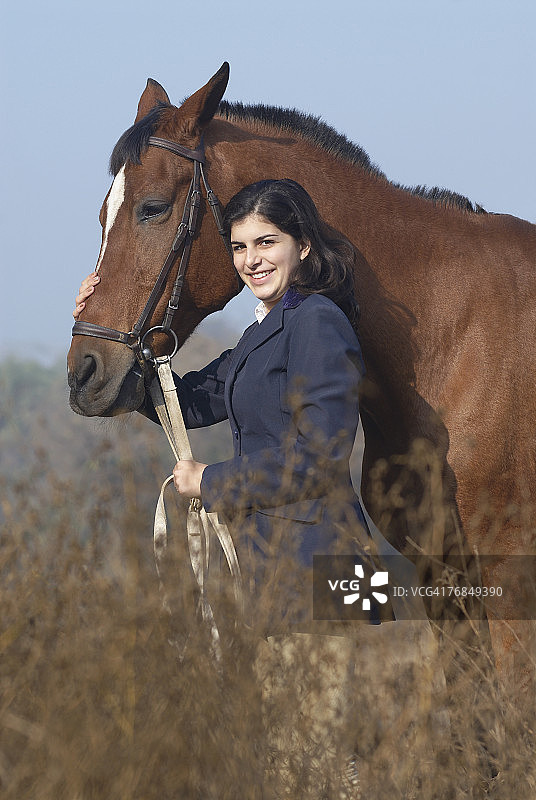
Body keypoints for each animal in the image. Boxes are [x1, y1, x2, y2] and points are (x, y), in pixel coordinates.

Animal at [67, 62, 536, 701]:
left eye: (153, 207)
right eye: (102, 215)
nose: (84, 372)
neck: (454, 332)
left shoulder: (509, 582)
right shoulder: (444, 577)